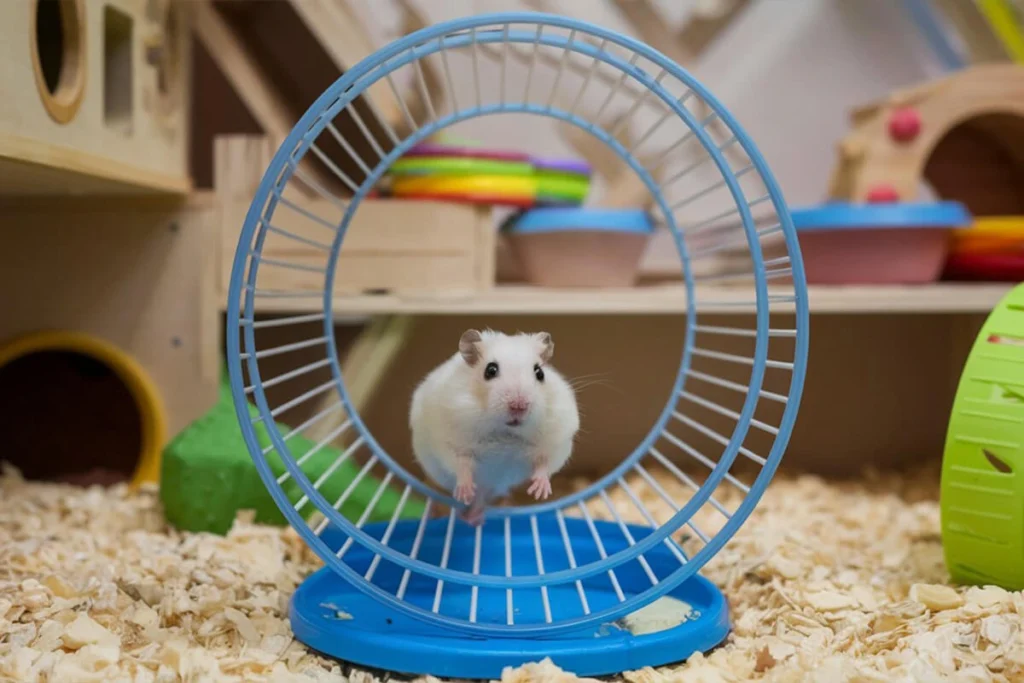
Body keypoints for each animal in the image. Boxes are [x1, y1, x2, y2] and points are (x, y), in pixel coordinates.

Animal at [409, 327, 585, 528]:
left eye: (540, 373)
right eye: (490, 370)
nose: (519, 406)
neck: (505, 433)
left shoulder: (554, 442)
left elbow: (543, 463)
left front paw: (539, 492)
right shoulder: (450, 441)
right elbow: (462, 463)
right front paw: (465, 492)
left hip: (493, 486)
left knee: (482, 497)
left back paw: (474, 518)